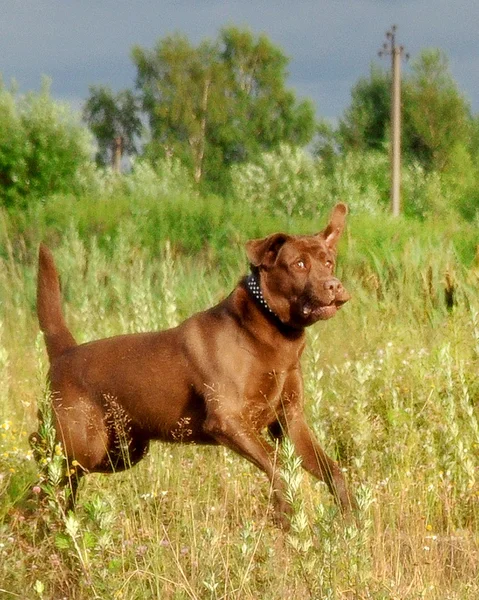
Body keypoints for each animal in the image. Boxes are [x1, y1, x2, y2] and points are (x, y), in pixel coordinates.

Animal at [33, 203, 356, 524]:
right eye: (299, 264)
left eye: (329, 262)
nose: (334, 285)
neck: (274, 334)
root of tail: (64, 353)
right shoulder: (226, 419)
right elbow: (276, 463)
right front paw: (286, 510)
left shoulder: (290, 420)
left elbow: (334, 471)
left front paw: (349, 520)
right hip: (82, 447)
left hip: (121, 452)